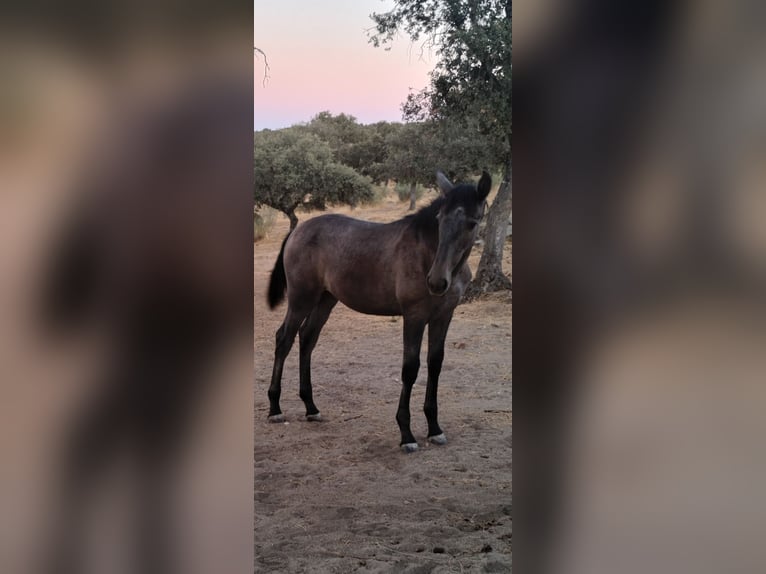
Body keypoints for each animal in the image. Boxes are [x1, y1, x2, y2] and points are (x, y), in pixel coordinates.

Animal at [267, 170, 492, 452]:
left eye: (472, 223)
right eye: (440, 219)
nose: (437, 282)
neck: (426, 253)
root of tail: (297, 230)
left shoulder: (443, 316)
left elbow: (435, 364)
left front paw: (435, 429)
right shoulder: (414, 316)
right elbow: (410, 368)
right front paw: (406, 434)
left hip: (325, 300)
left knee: (307, 339)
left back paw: (311, 408)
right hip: (301, 299)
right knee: (284, 339)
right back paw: (275, 409)